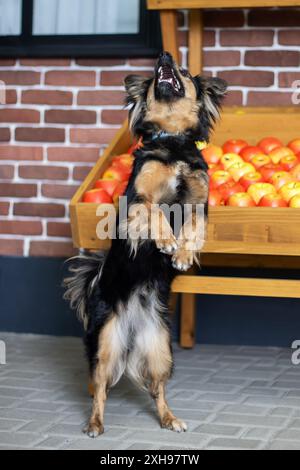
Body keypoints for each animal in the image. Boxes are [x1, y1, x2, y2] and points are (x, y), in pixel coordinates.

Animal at [63, 51, 227, 436]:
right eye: (156, 77)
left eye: (184, 72)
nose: (165, 55)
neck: (172, 142)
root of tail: (132, 325)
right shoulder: (138, 200)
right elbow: (155, 214)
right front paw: (166, 241)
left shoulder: (199, 203)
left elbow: (193, 227)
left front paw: (182, 254)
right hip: (105, 344)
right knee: (100, 389)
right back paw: (94, 424)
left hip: (160, 348)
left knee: (157, 388)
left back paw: (170, 418)